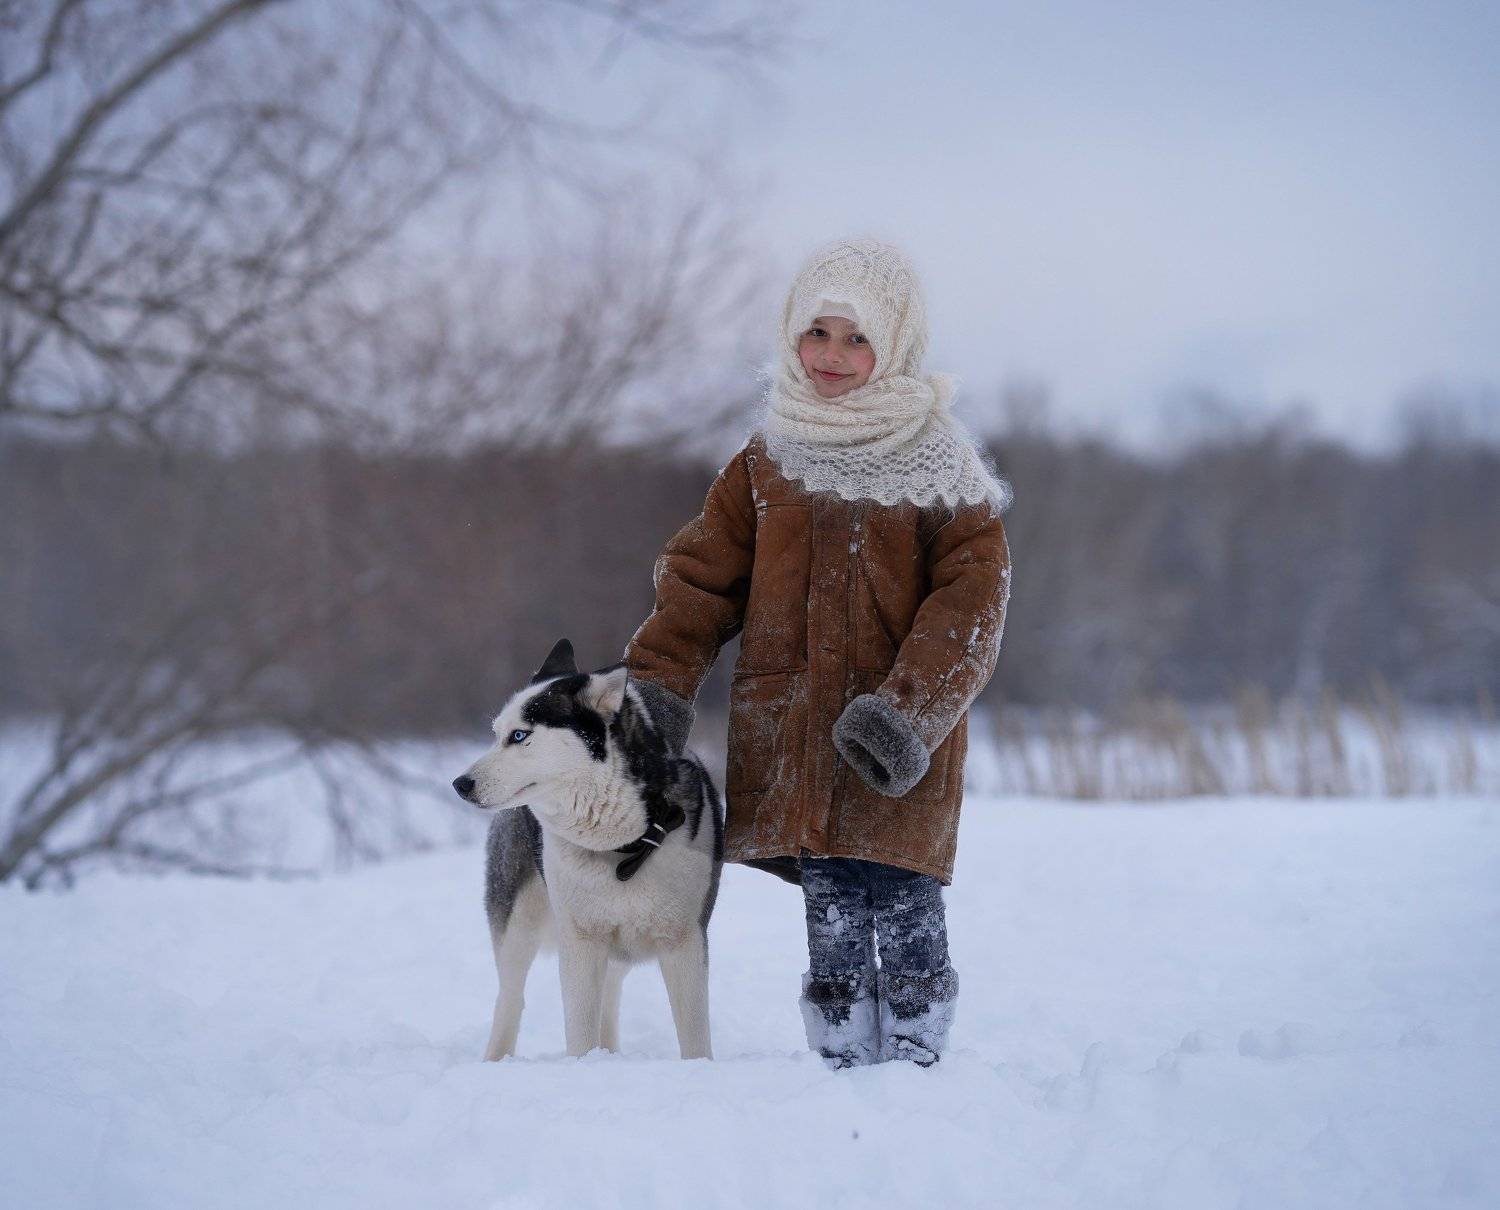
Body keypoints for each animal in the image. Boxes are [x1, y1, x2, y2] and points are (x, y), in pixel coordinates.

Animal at [452, 638, 724, 1061]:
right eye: (497, 734)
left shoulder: (685, 941)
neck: (622, 847)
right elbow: (579, 1032)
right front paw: (584, 1069)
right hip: (518, 925)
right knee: (510, 1000)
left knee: (608, 999)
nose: (460, 784)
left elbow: (695, 1037)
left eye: (519, 735)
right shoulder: (580, 942)